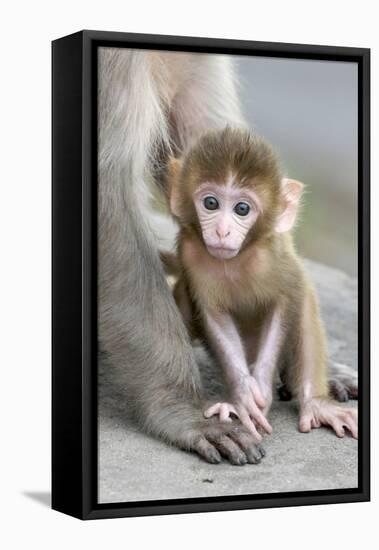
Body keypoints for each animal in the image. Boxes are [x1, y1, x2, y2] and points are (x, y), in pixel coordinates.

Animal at [166, 126, 356, 444]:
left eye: (242, 208)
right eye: (210, 203)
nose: (222, 230)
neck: (237, 259)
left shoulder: (274, 257)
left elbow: (287, 301)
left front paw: (262, 391)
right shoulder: (192, 255)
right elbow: (214, 315)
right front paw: (243, 398)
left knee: (304, 301)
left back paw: (315, 402)